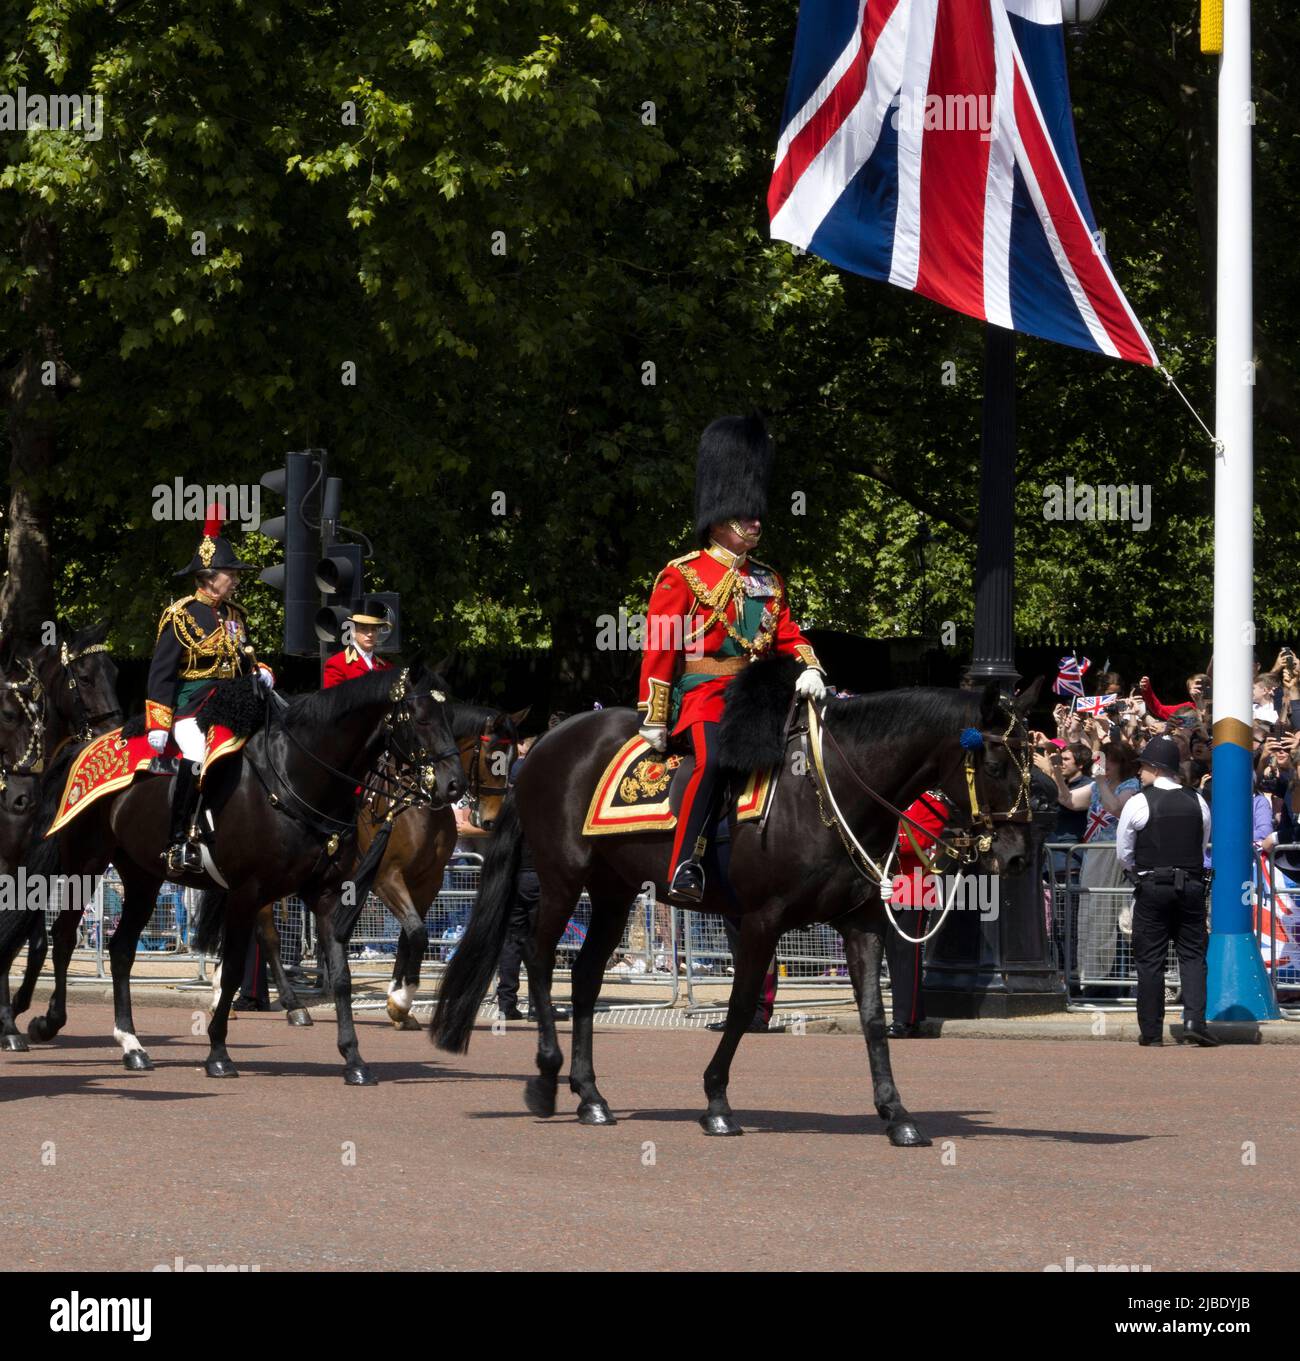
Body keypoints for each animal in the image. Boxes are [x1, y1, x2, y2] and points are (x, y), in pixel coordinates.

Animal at [15, 664, 465, 1077]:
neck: (297, 778)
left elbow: (340, 974)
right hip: (87, 863)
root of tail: (84, 747)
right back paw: (47, 1022)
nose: (454, 786)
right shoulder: (247, 893)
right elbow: (231, 969)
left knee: (122, 949)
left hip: (143, 876)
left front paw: (354, 1057)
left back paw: (131, 1044)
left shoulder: (326, 894)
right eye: (421, 719)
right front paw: (218, 1052)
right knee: (63, 937)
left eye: (450, 717)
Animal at [432, 675, 1040, 1143]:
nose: (1015, 857)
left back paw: (590, 1096)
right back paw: (545, 1078)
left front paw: (896, 1112)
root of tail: (543, 746)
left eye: (1032, 759)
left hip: (612, 891)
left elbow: (871, 1014)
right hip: (563, 879)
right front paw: (717, 1103)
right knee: (537, 957)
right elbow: (744, 1005)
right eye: (995, 762)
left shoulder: (862, 922)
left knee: (582, 978)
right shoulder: (762, 918)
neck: (830, 794)